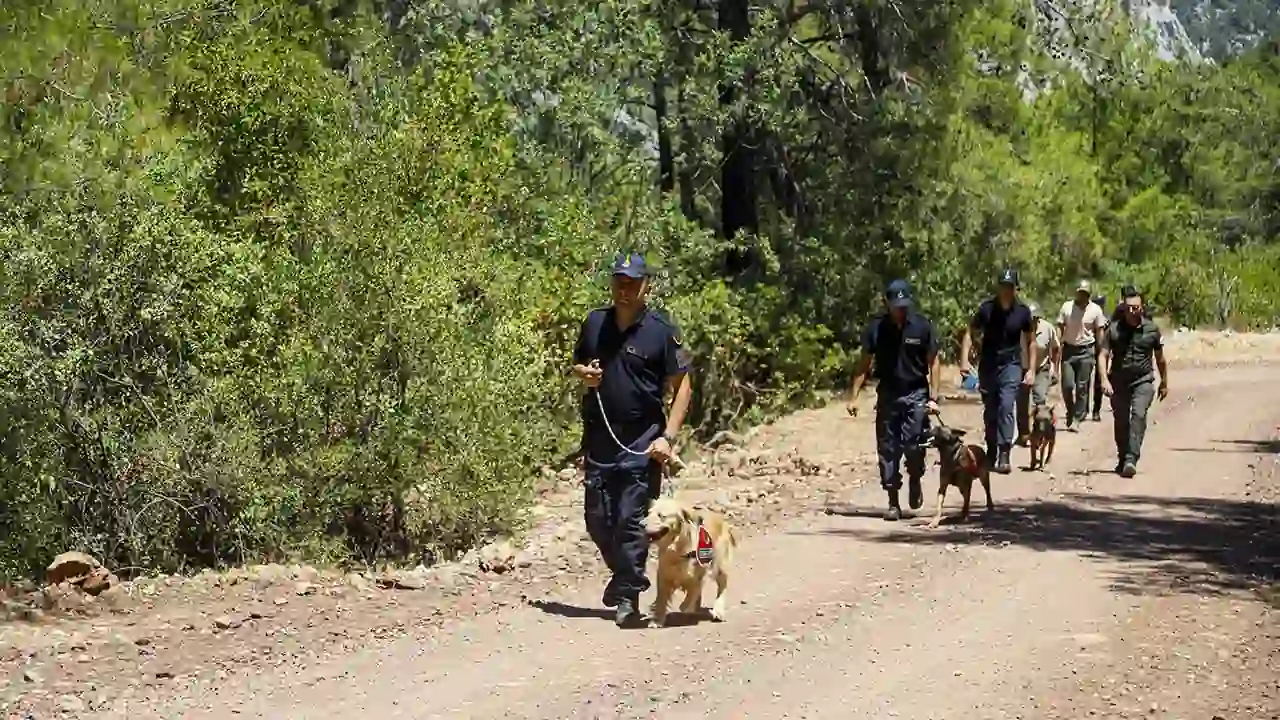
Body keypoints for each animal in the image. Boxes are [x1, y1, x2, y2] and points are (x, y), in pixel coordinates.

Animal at [645, 497, 737, 625]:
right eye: (649, 513)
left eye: (661, 515)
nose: (641, 524)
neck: (677, 549)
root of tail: (722, 521)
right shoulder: (663, 575)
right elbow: (661, 599)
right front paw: (657, 620)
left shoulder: (701, 573)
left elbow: (693, 591)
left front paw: (686, 605)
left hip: (719, 566)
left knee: (722, 585)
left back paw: (718, 611)